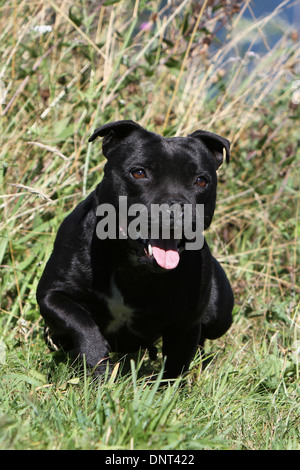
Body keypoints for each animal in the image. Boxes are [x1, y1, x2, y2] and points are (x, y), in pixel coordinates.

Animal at [37, 120, 234, 378]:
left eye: (201, 180)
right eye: (139, 172)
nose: (176, 208)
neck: (133, 267)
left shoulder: (186, 324)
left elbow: (175, 367)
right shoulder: (52, 295)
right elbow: (81, 323)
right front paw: (97, 365)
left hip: (219, 314)